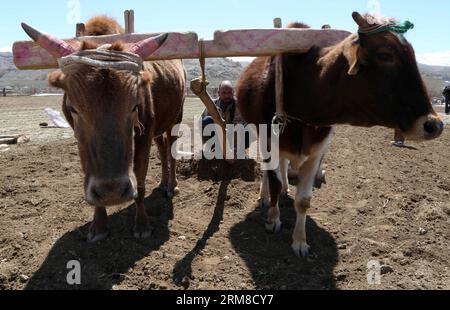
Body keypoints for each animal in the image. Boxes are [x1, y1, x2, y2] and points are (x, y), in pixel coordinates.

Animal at [20, 15, 186, 241]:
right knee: (162, 148)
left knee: (171, 150)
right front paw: (98, 226)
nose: (112, 192)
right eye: (73, 108)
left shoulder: (143, 138)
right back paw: (162, 183)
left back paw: (172, 186)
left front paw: (142, 224)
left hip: (176, 117)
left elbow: (140, 182)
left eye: (134, 105)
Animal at [237, 11, 444, 256]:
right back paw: (264, 196)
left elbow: (303, 200)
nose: (434, 125)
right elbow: (274, 182)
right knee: (267, 172)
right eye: (384, 55)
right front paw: (273, 219)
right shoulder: (270, 141)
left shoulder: (317, 152)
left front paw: (300, 240)